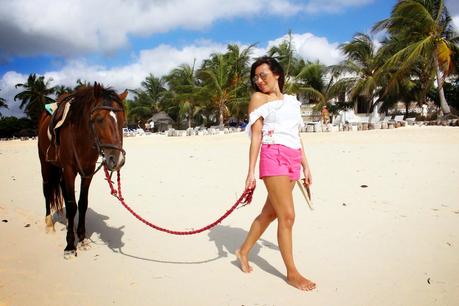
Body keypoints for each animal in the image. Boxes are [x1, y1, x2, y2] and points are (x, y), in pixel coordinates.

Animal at [36, 83, 127, 258]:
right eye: (99, 119)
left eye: (122, 121)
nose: (117, 160)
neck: (82, 137)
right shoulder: (69, 170)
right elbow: (72, 206)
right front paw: (70, 245)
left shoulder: (87, 172)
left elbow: (82, 204)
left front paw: (82, 238)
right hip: (46, 164)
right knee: (46, 190)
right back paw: (49, 224)